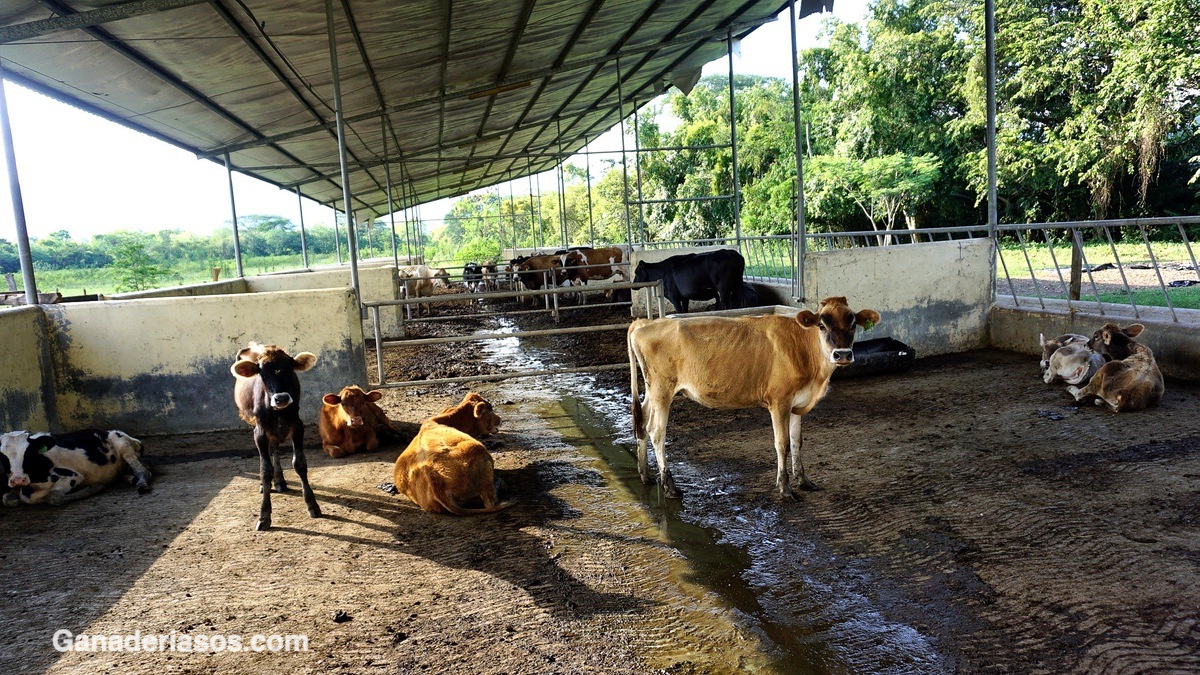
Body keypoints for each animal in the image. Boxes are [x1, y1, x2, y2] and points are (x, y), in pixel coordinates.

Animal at [1, 425, 151, 504]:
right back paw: (130, 478)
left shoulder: (73, 476)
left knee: (143, 470)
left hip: (123, 443)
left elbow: (52, 497)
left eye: (29, 453)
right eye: (2, 456)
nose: (18, 480)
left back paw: (142, 483)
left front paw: (94, 488)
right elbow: (7, 498)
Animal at [230, 338, 321, 528]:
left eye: (290, 370)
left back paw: (279, 481)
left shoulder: (297, 425)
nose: (282, 398)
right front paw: (264, 515)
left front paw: (312, 504)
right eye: (262, 374)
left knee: (275, 448)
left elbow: (300, 464)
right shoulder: (260, 430)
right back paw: (267, 484)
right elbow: (265, 470)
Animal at [628, 296, 883, 497]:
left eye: (853, 323)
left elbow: (797, 441)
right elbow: (782, 444)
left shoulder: (797, 402)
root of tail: (645, 323)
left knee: (642, 420)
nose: (842, 354)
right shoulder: (779, 401)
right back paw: (669, 485)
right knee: (656, 432)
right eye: (821, 324)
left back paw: (645, 475)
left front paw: (803, 481)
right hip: (662, 390)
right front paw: (785, 488)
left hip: (652, 391)